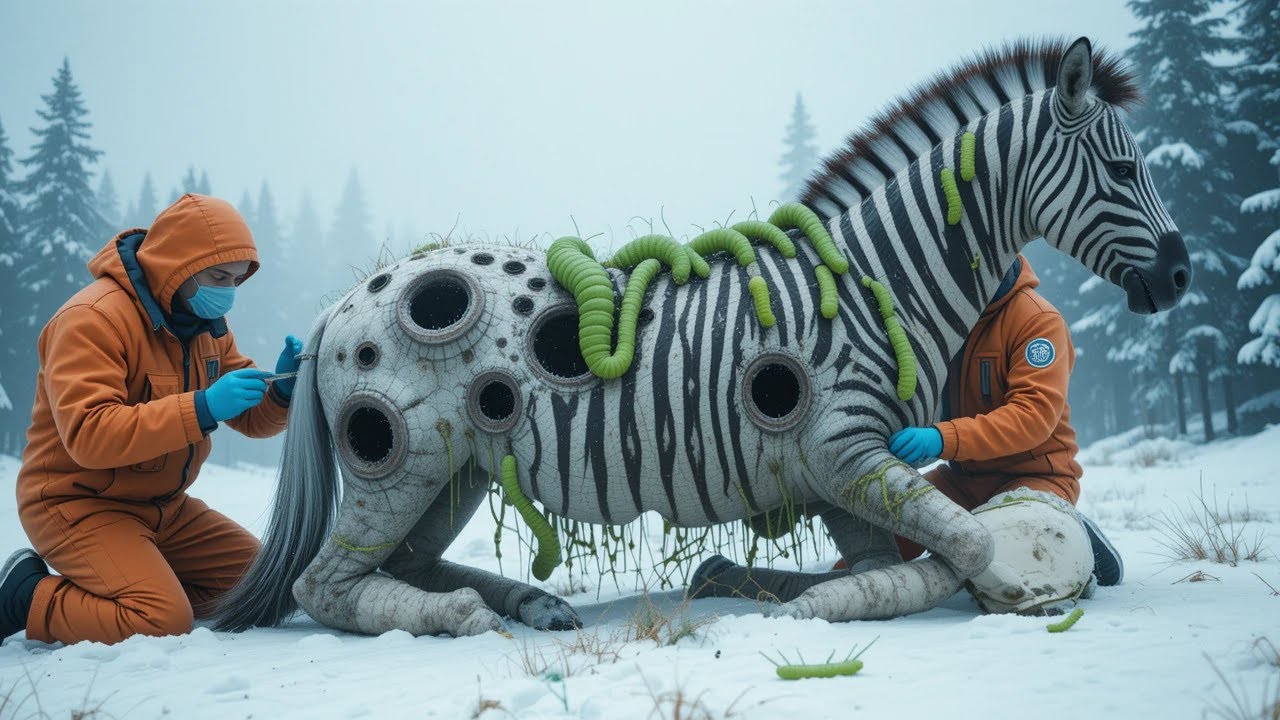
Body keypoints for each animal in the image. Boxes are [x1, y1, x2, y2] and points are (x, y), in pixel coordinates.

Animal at [212, 37, 1190, 637]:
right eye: (1123, 169)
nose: (1182, 277)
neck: (876, 279)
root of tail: (345, 301)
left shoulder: (844, 474)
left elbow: (904, 558)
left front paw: (781, 588)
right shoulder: (845, 452)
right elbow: (971, 549)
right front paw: (818, 605)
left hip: (455, 473)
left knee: (407, 567)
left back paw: (534, 603)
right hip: (403, 466)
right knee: (324, 587)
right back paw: (471, 616)